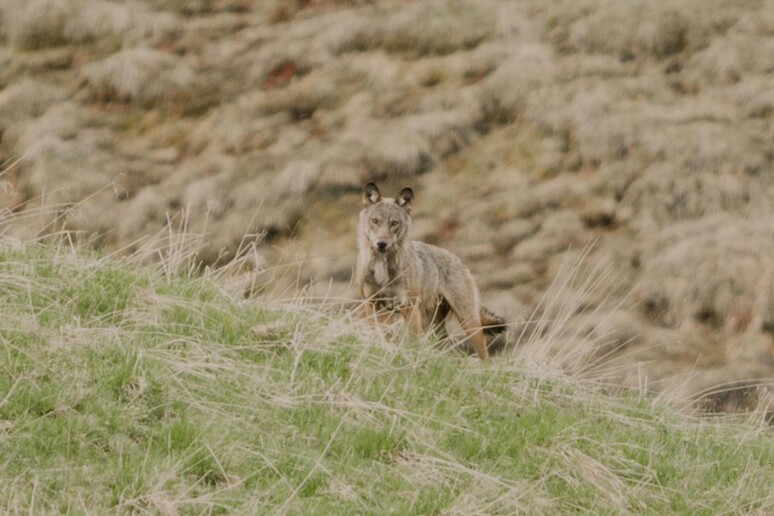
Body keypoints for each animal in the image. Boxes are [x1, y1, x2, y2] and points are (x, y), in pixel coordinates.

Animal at [354, 182, 506, 358]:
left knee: (484, 356)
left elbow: (413, 341)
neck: (382, 269)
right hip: (434, 326)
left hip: (468, 322)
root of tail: (460, 261)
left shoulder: (408, 307)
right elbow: (377, 334)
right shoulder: (372, 304)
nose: (381, 244)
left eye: (394, 223)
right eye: (375, 221)